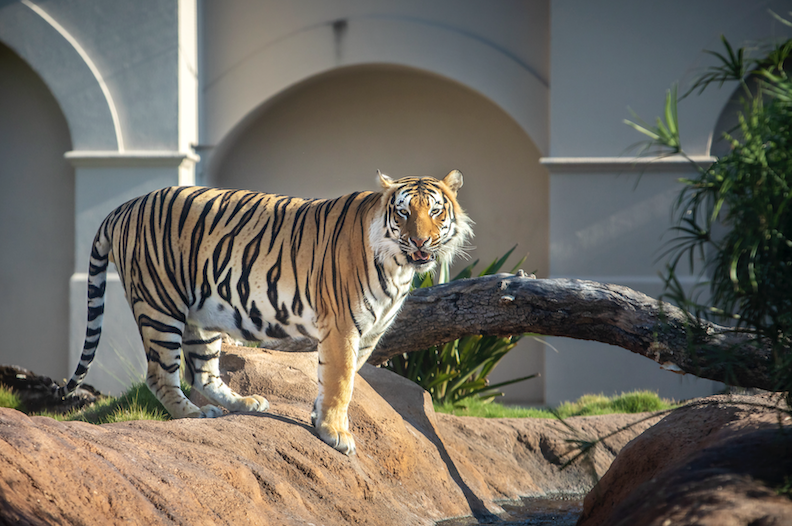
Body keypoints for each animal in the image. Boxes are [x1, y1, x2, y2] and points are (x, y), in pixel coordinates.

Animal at [59, 170, 472, 455]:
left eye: (436, 212)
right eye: (402, 213)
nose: (420, 241)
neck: (399, 267)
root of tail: (123, 206)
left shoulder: (368, 333)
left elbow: (338, 380)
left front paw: (319, 420)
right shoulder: (342, 327)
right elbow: (341, 382)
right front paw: (336, 434)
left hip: (204, 313)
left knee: (203, 373)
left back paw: (244, 404)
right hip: (160, 305)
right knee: (160, 374)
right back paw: (193, 415)